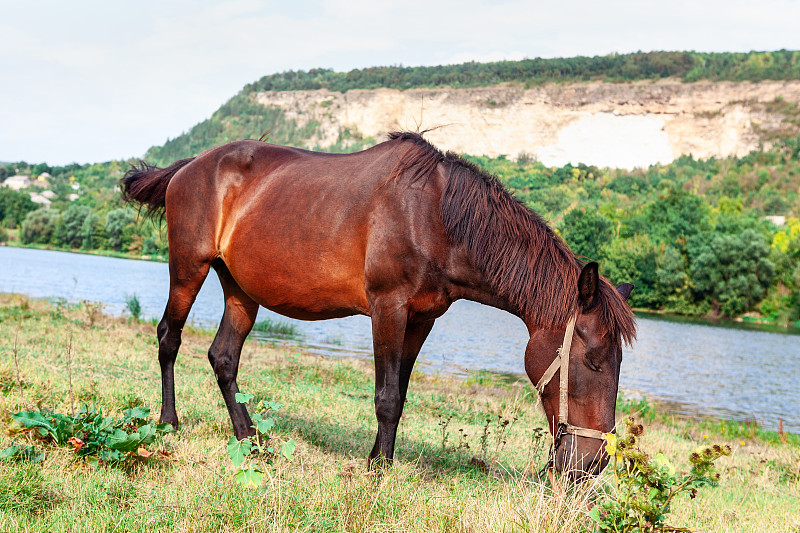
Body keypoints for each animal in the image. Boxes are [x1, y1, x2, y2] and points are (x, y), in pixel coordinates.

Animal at [123, 133, 636, 478]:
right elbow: (386, 396)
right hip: (187, 267)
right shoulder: (388, 308)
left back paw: (250, 438)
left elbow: (400, 394)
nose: (592, 465)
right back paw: (169, 423)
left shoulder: (421, 319)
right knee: (169, 339)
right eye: (592, 361)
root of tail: (191, 165)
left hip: (241, 289)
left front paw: (379, 458)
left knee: (224, 358)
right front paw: (378, 469)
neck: (434, 217)